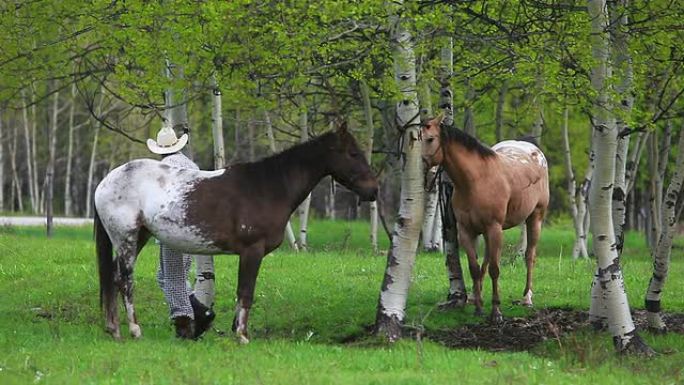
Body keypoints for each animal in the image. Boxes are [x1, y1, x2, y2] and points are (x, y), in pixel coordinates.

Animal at [93, 121, 376, 340]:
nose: (373, 190)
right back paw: (133, 330)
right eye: (352, 153)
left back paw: (114, 328)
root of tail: (106, 181)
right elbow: (246, 292)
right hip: (126, 238)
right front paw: (242, 335)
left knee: (113, 278)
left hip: (139, 237)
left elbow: (243, 293)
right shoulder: (252, 251)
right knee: (124, 280)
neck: (267, 187)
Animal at [422, 116, 552, 320]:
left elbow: (495, 269)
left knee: (529, 256)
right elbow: (474, 268)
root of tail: (535, 152)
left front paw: (496, 311)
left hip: (535, 218)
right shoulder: (467, 231)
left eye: (430, 139)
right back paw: (476, 296)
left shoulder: (494, 228)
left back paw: (527, 298)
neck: (476, 180)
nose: (424, 172)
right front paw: (478, 307)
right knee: (487, 259)